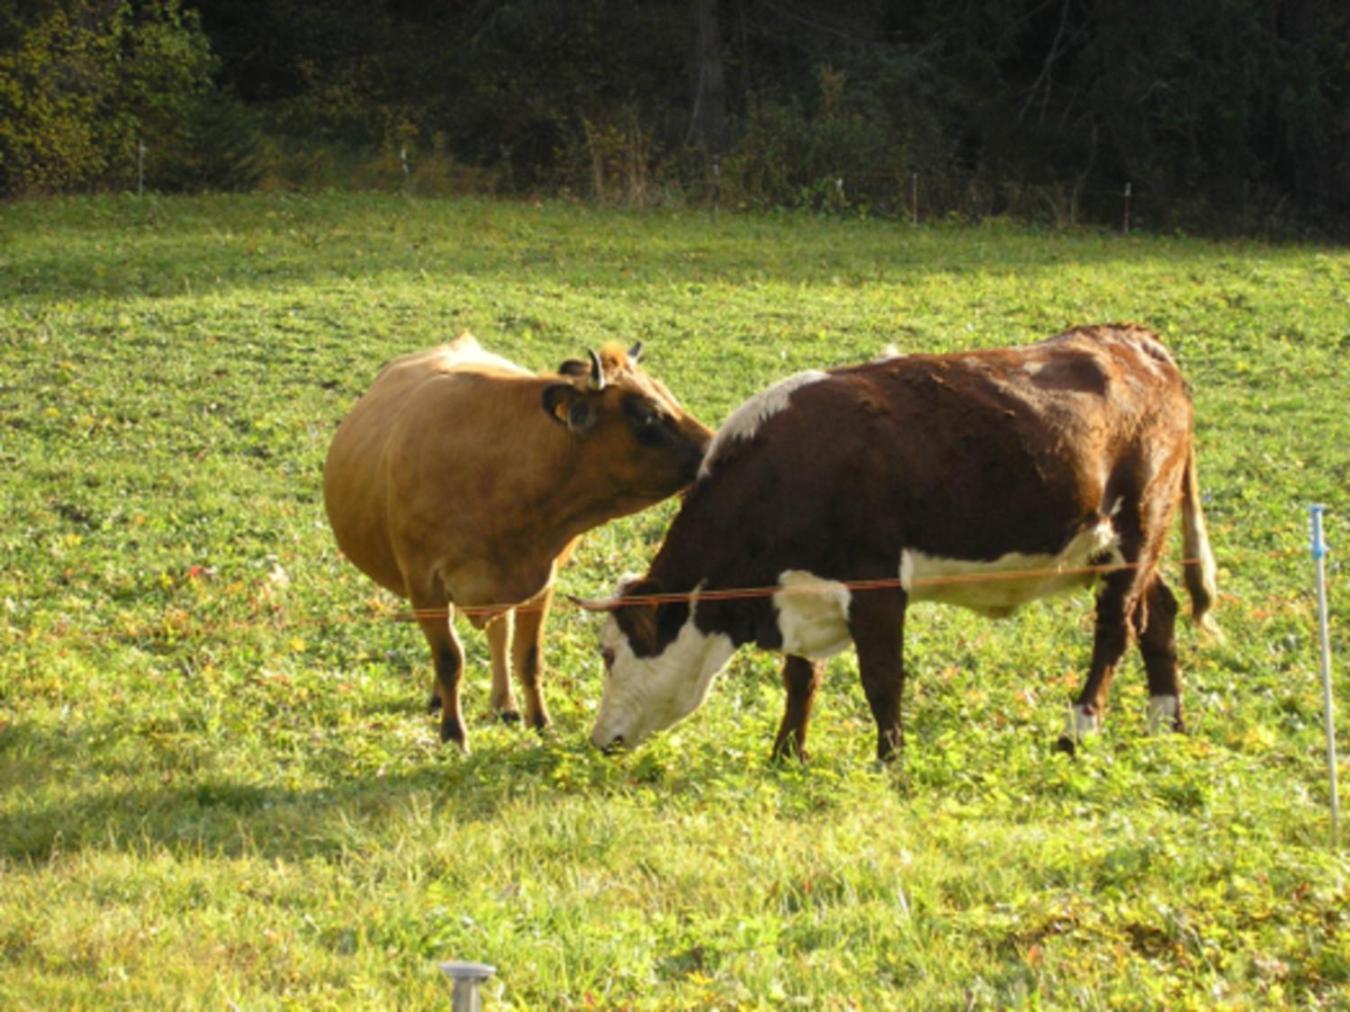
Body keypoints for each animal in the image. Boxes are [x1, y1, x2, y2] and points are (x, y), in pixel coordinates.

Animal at [325, 334, 712, 755]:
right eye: (647, 416)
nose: (713, 444)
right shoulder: (424, 582)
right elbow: (449, 658)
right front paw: (454, 734)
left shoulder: (542, 579)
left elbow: (528, 656)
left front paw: (541, 723)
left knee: (499, 633)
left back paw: (504, 703)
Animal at [585, 329, 1220, 766]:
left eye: (610, 654)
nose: (599, 740)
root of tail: (1135, 339)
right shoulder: (799, 593)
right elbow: (801, 678)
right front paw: (787, 754)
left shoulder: (876, 585)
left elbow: (882, 678)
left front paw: (890, 761)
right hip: (1122, 546)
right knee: (1158, 613)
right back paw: (1166, 721)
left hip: (1138, 526)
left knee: (1115, 629)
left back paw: (1077, 730)